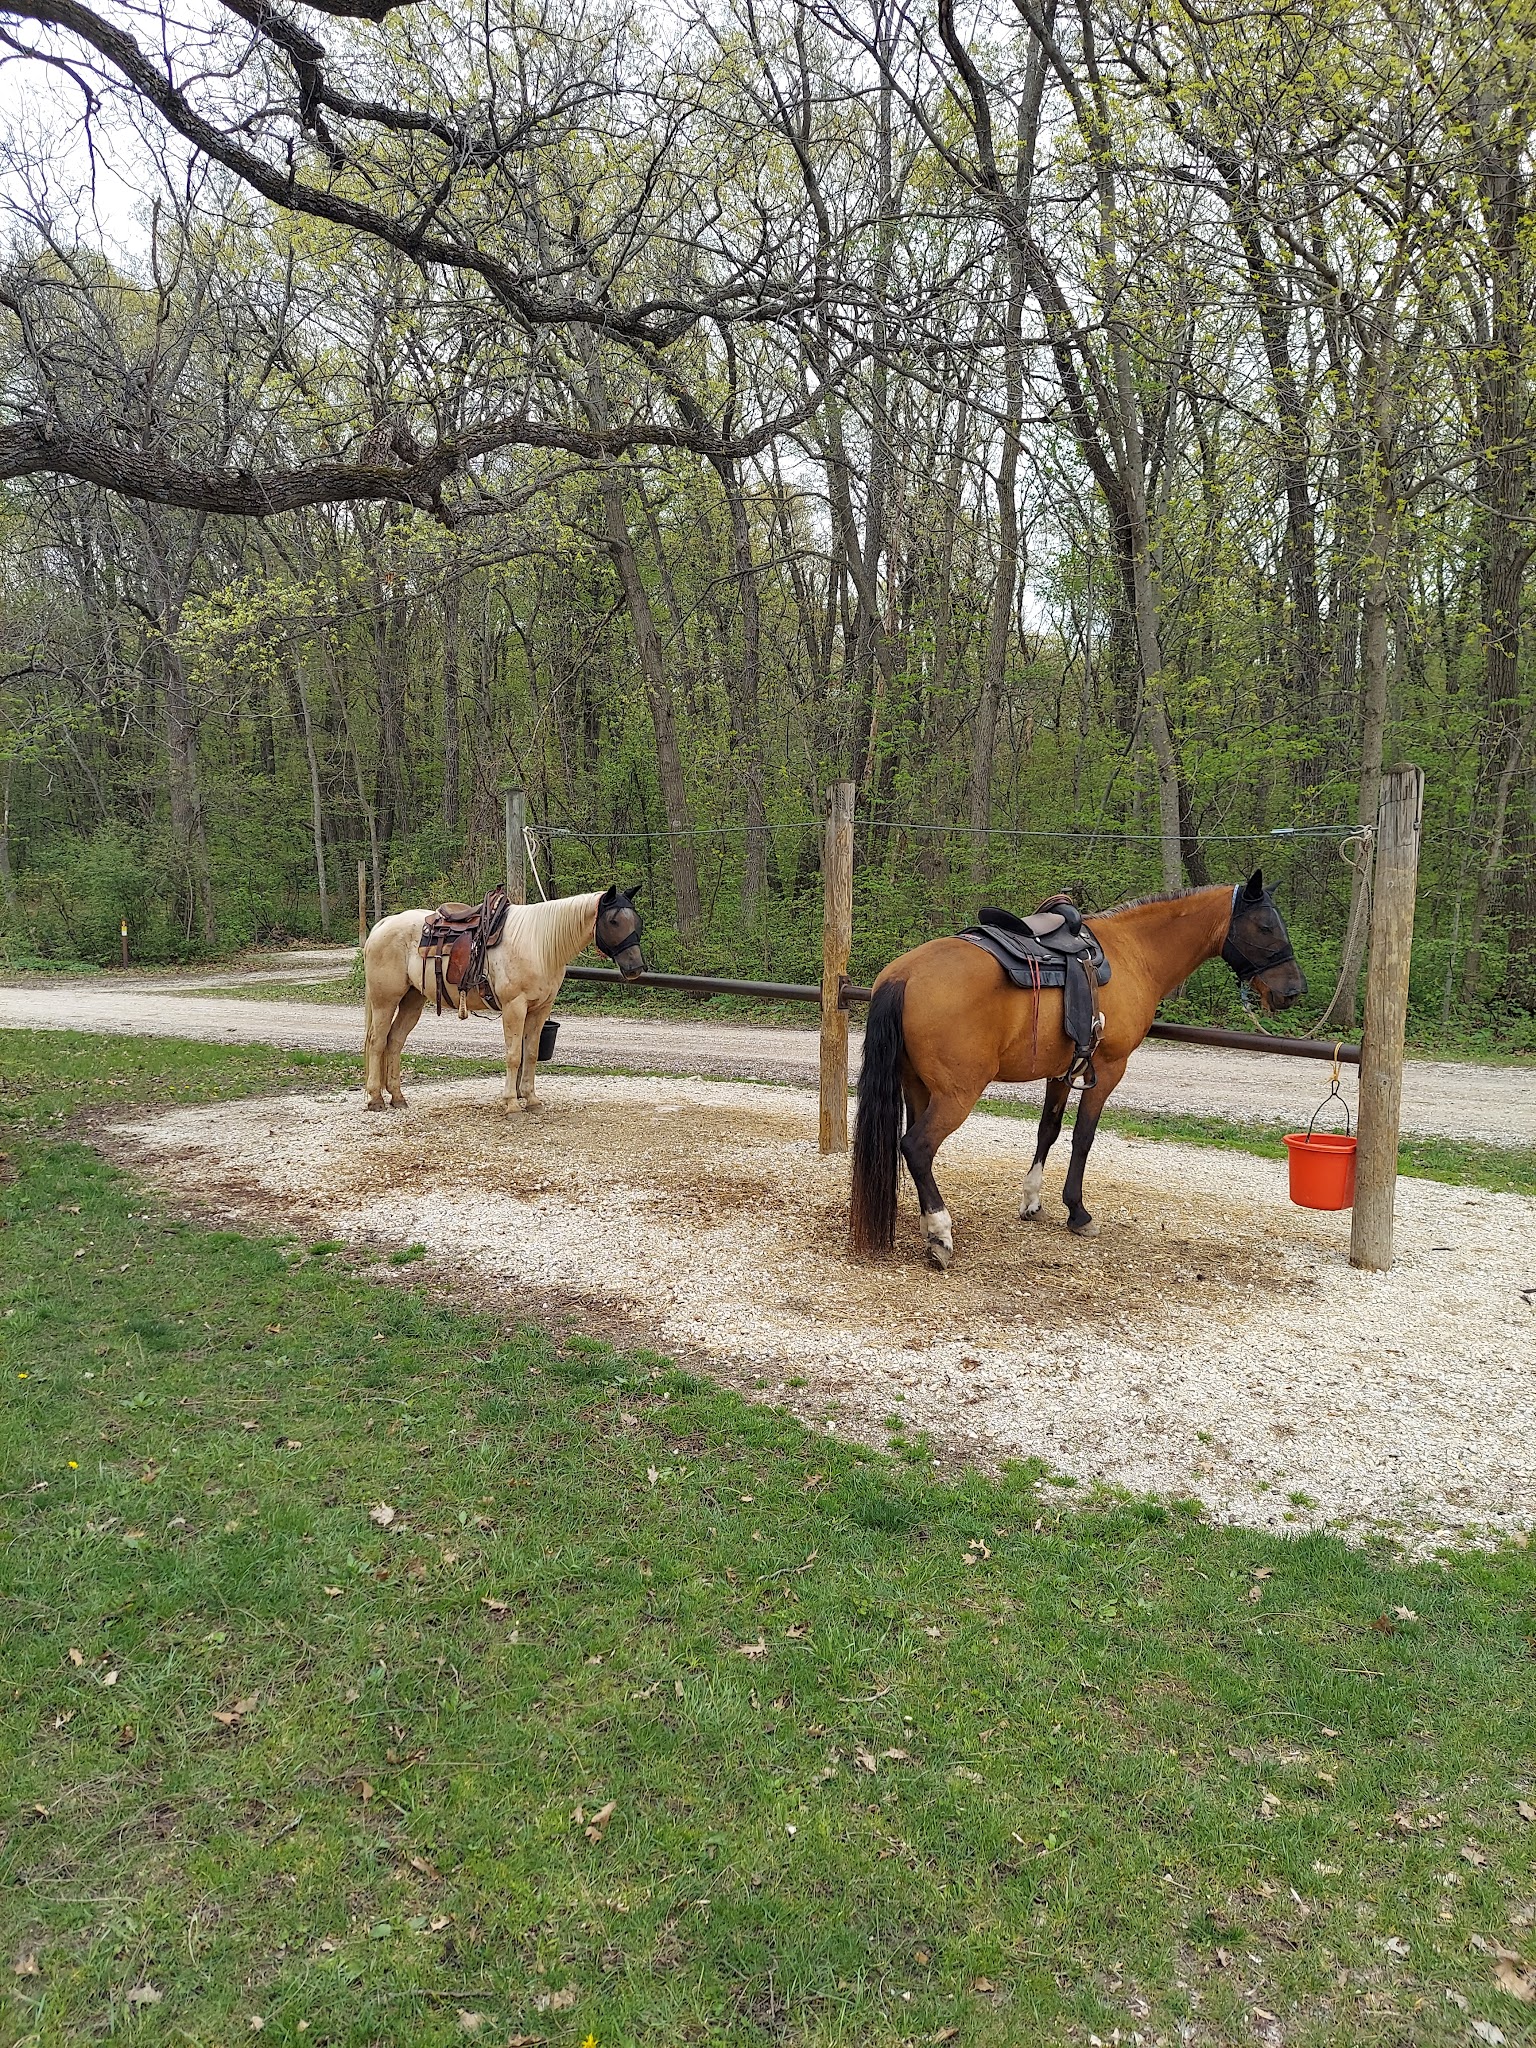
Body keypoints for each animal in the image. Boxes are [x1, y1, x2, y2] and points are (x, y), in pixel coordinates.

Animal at [361, 884, 646, 1113]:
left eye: (637, 921)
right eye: (614, 921)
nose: (636, 968)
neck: (539, 944)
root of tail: (383, 925)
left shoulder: (540, 1009)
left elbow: (530, 1054)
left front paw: (531, 1100)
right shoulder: (514, 1007)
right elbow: (514, 1055)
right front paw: (511, 1104)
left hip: (412, 1000)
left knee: (395, 1041)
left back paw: (398, 1097)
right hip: (385, 1000)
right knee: (377, 1041)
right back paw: (375, 1099)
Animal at [850, 873, 1307, 1268]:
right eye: (1266, 926)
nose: (1293, 990)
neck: (1134, 951)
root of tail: (903, 975)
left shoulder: (1060, 1071)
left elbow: (1048, 1130)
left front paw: (1032, 1201)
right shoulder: (1108, 1069)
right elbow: (1083, 1138)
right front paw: (1077, 1212)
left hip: (917, 1087)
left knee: (913, 1150)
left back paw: (927, 1222)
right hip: (957, 1094)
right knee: (917, 1147)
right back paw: (940, 1235)